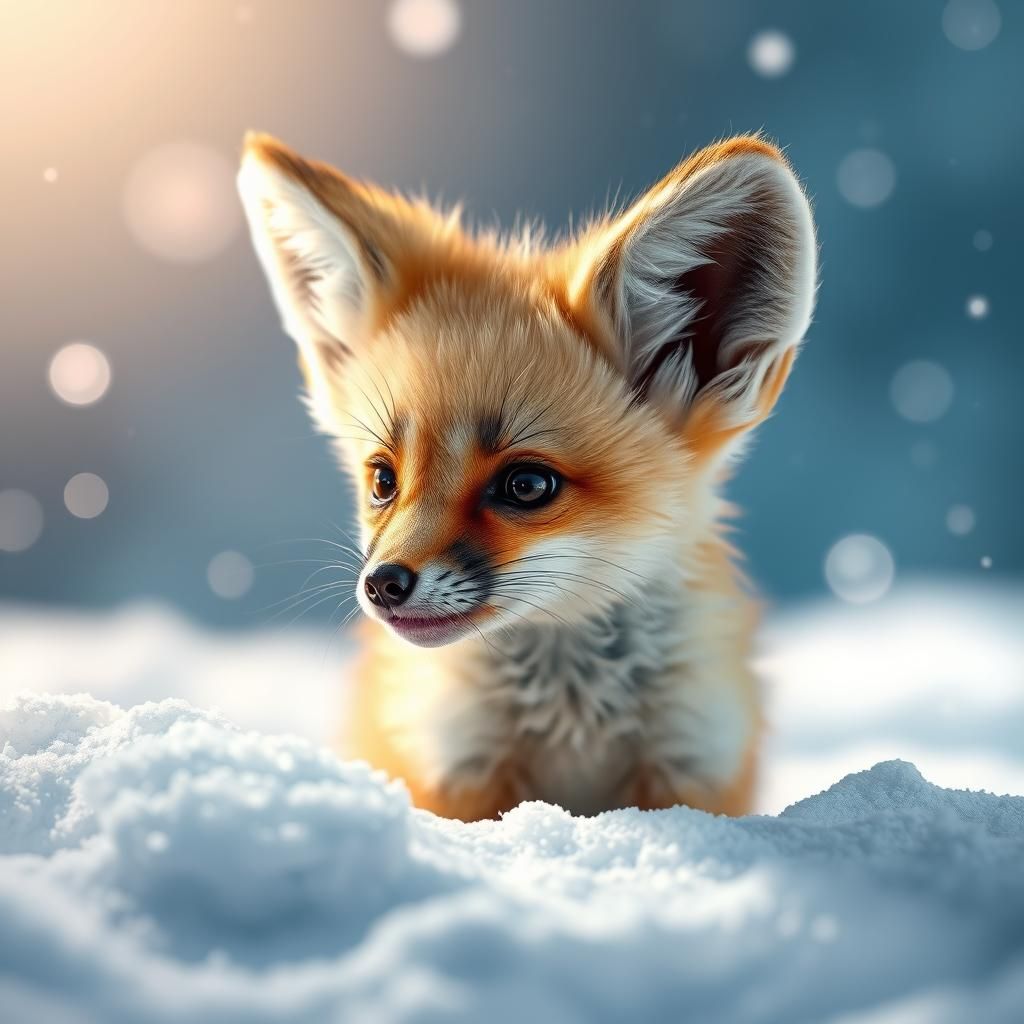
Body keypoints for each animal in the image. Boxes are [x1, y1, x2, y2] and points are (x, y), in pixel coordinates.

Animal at [237, 131, 816, 821]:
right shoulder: (456, 767)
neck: (573, 719)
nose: (383, 585)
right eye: (383, 479)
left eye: (526, 485)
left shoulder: (695, 760)